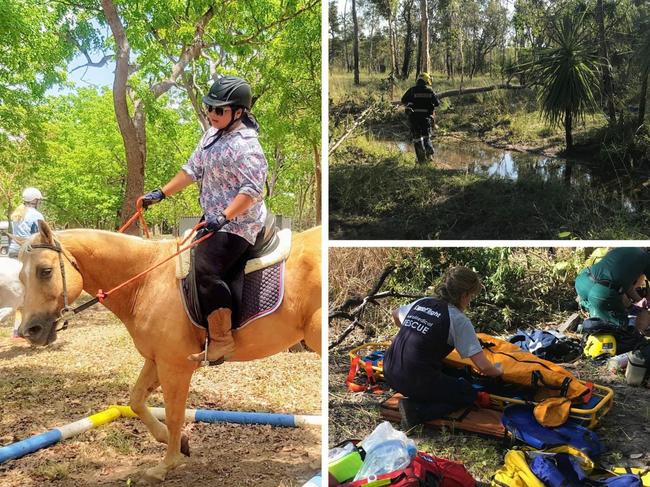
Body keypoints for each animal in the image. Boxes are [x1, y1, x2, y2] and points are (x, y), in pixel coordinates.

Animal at [15, 222, 318, 484]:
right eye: (20, 277)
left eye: (45, 271)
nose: (30, 330)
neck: (146, 279)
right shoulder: (156, 359)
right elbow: (136, 400)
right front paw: (178, 443)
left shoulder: (175, 365)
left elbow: (174, 414)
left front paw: (166, 465)